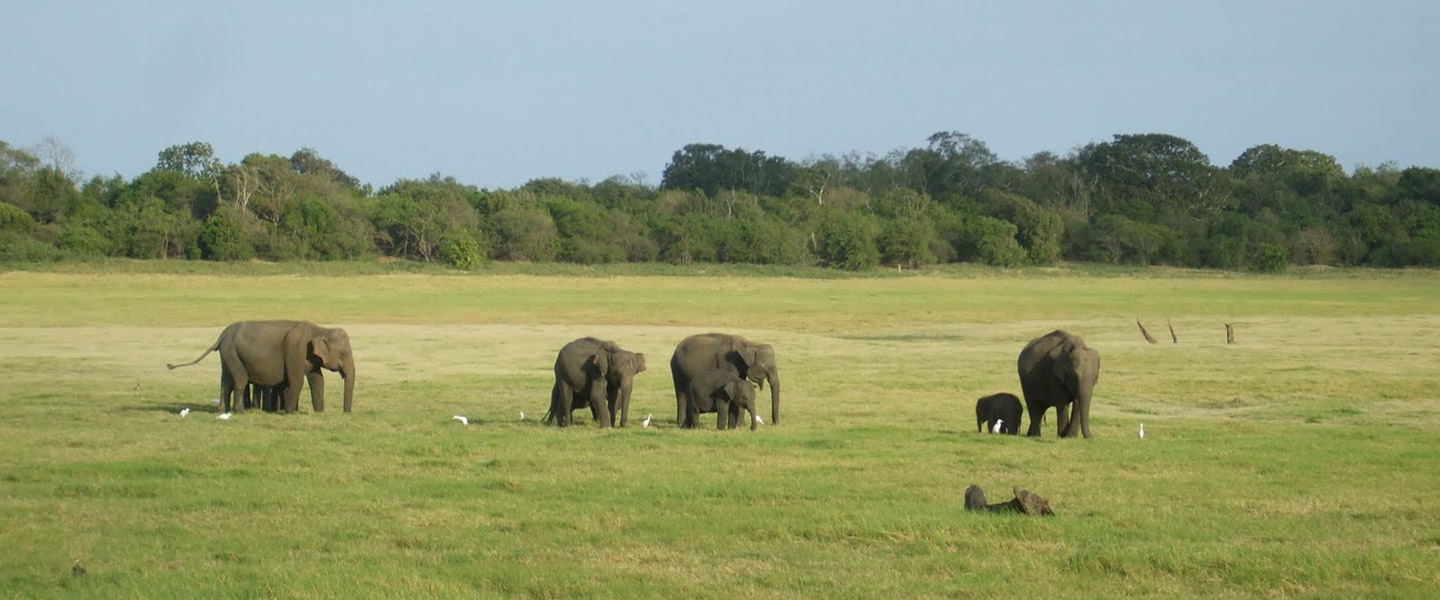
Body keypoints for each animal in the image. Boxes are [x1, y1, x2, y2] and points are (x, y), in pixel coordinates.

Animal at [168, 320, 357, 414]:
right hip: (233, 354)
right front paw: (290, 413)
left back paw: (224, 410)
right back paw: (241, 412)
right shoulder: (295, 350)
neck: (321, 329)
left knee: (226, 382)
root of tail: (221, 336)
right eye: (344, 353)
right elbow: (298, 382)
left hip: (228, 355)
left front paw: (319, 413)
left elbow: (317, 381)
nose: (346, 413)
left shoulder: (310, 357)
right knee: (240, 381)